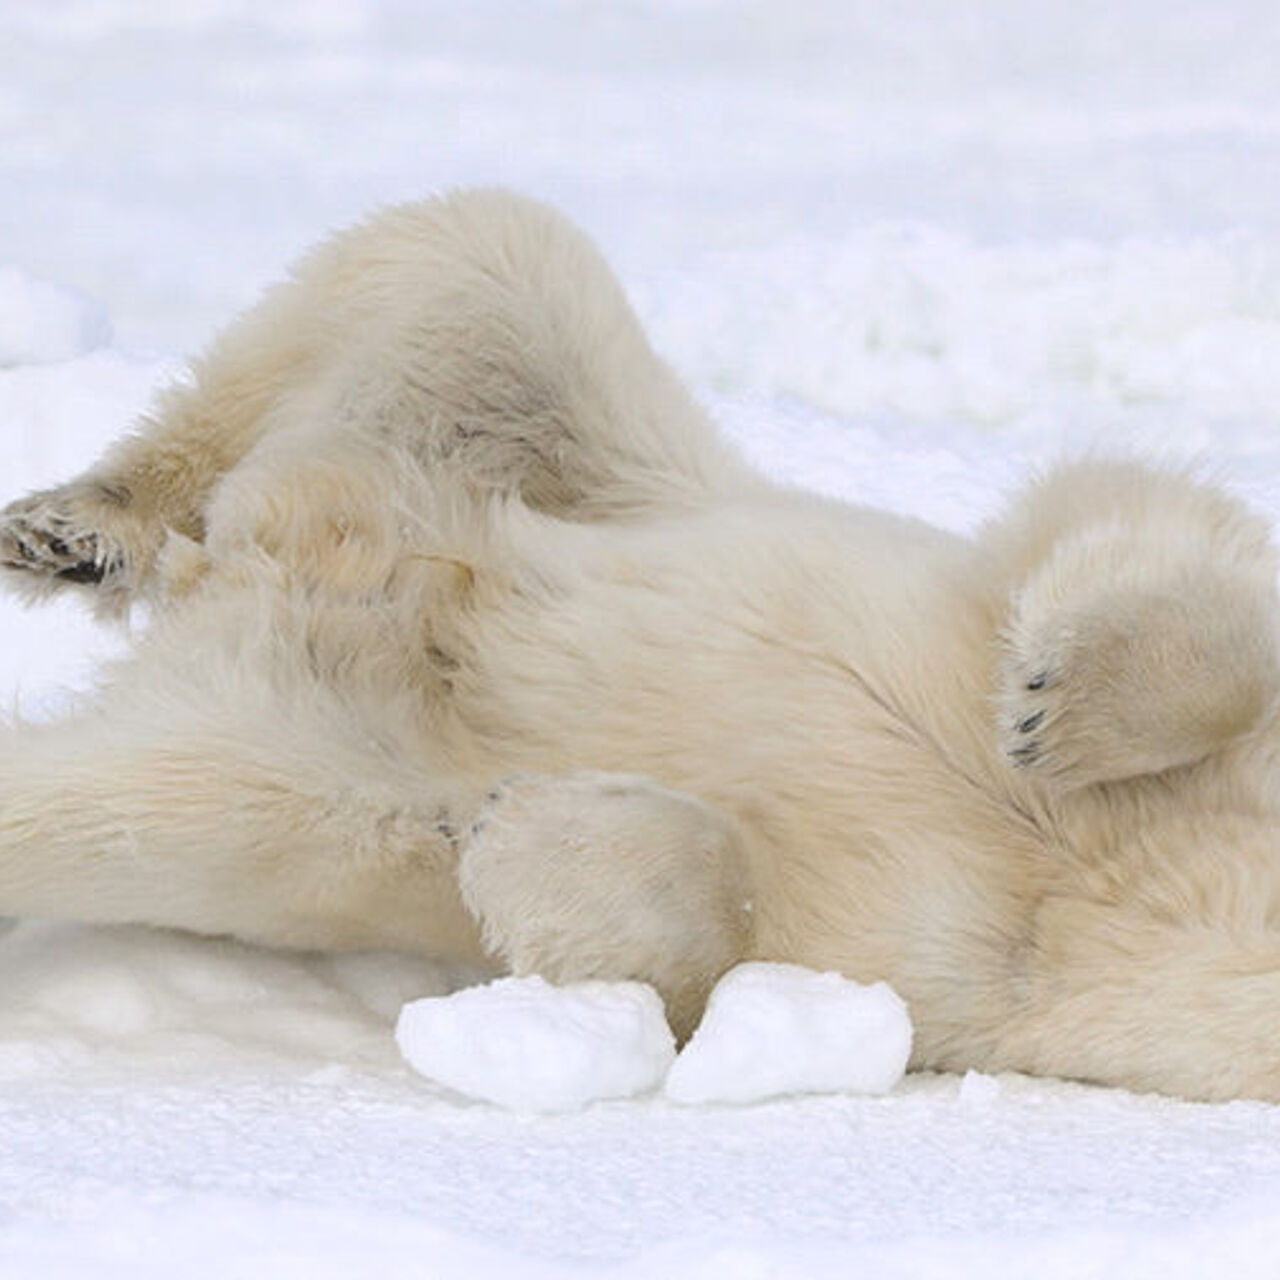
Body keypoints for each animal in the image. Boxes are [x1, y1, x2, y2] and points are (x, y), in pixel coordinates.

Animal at [2, 186, 1280, 1100]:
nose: (488, 810)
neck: (1117, 884)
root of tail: (241, 568)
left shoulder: (992, 983)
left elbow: (708, 973)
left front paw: (515, 823)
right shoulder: (1008, 591)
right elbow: (1153, 522)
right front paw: (1047, 708)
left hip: (266, 739)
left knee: (110, 801)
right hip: (581, 457)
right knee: (477, 258)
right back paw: (78, 527)